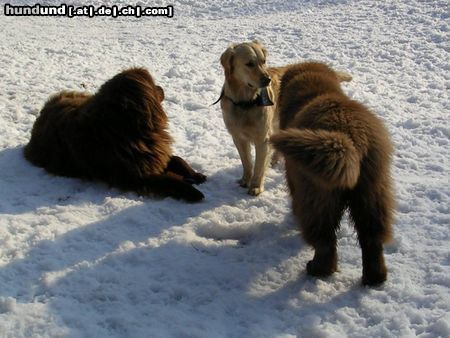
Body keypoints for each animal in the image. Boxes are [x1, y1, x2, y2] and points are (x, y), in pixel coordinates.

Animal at [24, 67, 206, 202]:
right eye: (153, 85)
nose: (161, 87)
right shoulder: (134, 175)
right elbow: (167, 179)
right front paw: (191, 191)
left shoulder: (153, 155)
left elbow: (177, 159)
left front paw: (195, 175)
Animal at [270, 61, 394, 286]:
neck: (317, 92)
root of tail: (349, 137)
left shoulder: (294, 177)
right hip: (372, 192)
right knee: (372, 238)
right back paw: (375, 278)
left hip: (318, 193)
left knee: (324, 239)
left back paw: (317, 269)